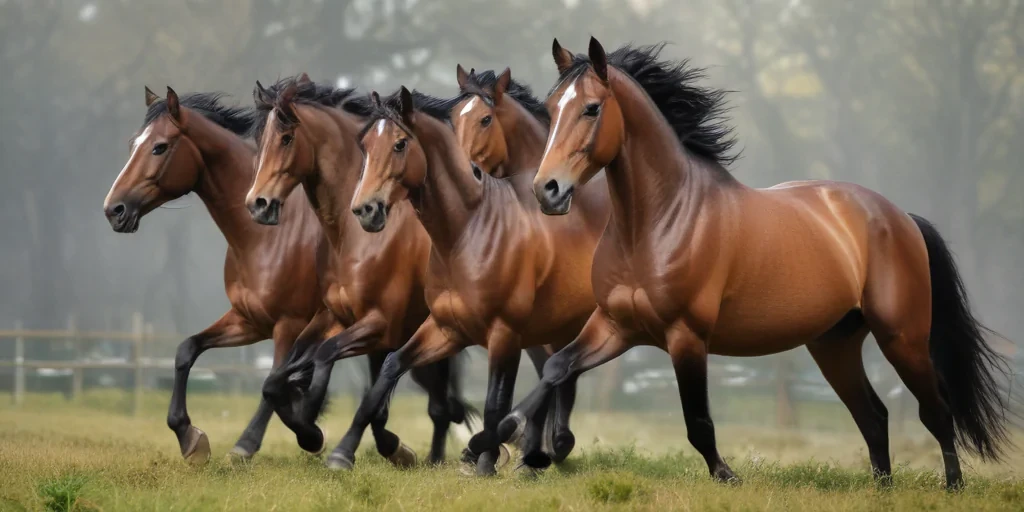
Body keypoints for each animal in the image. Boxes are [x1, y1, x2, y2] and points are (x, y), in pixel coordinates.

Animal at [102, 87, 322, 464]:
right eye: (134, 144)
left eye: (159, 147)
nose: (113, 209)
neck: (269, 236)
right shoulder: (249, 321)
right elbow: (186, 350)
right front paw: (189, 437)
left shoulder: (289, 325)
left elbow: (273, 383)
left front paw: (250, 444)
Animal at [245, 76, 477, 470]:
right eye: (259, 140)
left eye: (286, 138)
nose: (257, 204)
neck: (352, 239)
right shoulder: (334, 316)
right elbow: (277, 379)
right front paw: (309, 429)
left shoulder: (379, 324)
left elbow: (325, 357)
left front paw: (314, 429)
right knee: (442, 405)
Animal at [334, 82, 610, 476]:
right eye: (365, 144)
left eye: (400, 144)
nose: (364, 210)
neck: (468, 230)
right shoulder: (447, 329)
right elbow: (388, 371)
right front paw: (342, 452)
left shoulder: (504, 333)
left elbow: (496, 402)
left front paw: (484, 463)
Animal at [497, 38, 1012, 489]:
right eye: (550, 108)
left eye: (591, 108)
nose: (547, 190)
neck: (659, 222)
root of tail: (899, 216)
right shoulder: (614, 326)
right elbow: (557, 367)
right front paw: (505, 432)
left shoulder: (686, 336)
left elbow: (698, 421)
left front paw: (727, 475)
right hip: (835, 345)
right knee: (873, 414)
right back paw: (882, 490)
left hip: (902, 336)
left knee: (936, 410)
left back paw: (952, 487)